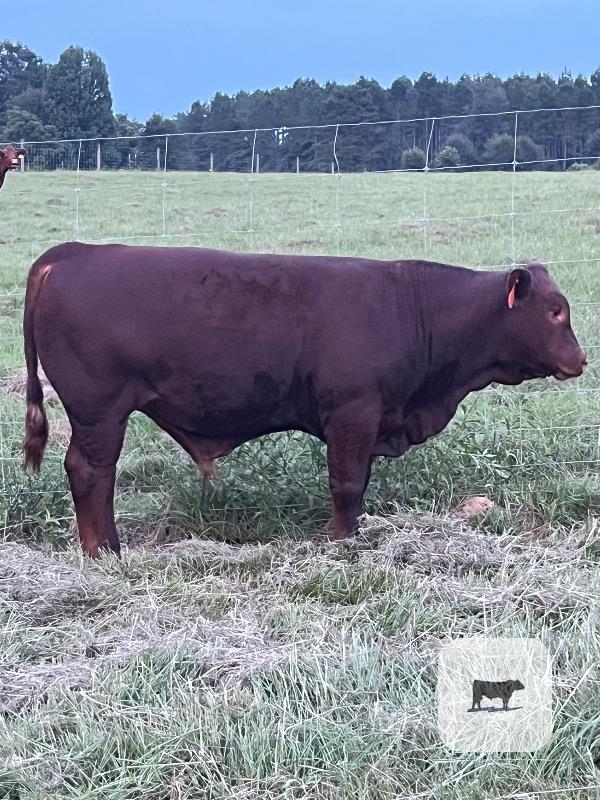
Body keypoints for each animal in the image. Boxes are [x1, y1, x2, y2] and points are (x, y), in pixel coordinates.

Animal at [22, 242, 587, 557]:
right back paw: (103, 552)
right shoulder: (353, 413)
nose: (581, 360)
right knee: (90, 471)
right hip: (99, 410)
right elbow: (347, 484)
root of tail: (75, 251)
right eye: (556, 311)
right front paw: (341, 541)